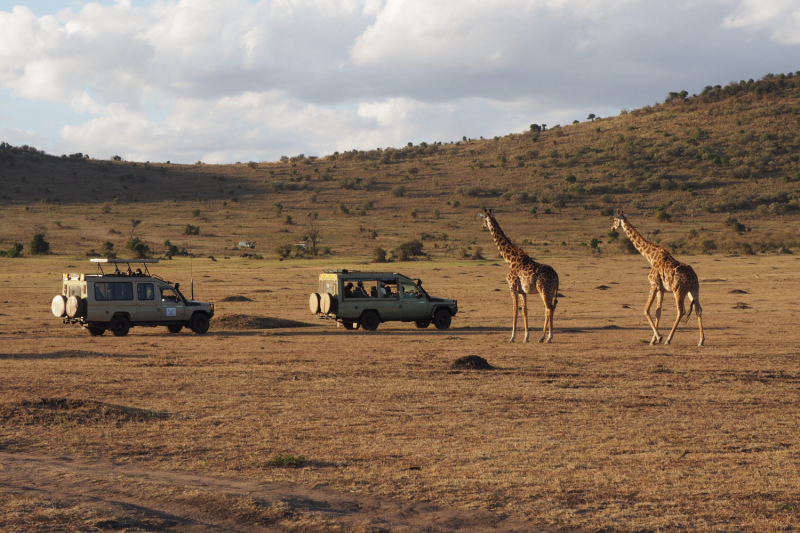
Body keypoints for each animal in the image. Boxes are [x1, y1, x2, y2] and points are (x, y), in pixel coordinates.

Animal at [478, 208, 560, 340]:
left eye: (483, 218)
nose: (483, 226)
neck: (509, 259)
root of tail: (557, 277)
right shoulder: (522, 291)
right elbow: (524, 311)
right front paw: (526, 337)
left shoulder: (512, 286)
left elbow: (515, 310)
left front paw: (512, 337)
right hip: (551, 291)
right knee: (550, 308)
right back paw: (545, 337)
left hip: (543, 289)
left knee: (549, 308)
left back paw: (546, 337)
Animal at [616, 210, 704, 348]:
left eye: (614, 219)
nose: (612, 227)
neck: (651, 257)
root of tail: (694, 277)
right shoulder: (661, 289)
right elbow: (658, 311)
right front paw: (653, 340)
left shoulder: (653, 284)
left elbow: (646, 310)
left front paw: (659, 337)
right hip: (694, 290)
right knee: (698, 309)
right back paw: (701, 340)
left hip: (679, 291)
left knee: (681, 311)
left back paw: (669, 339)